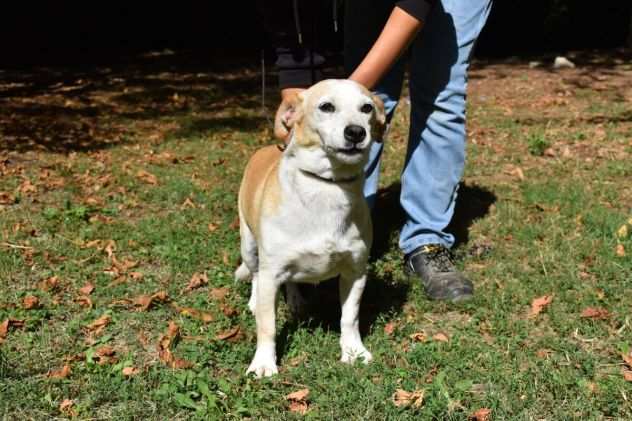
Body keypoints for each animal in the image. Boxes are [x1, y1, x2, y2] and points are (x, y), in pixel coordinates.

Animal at [235, 79, 386, 378]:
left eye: (366, 108)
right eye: (326, 107)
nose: (356, 132)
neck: (328, 185)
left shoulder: (355, 272)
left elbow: (349, 317)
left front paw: (353, 351)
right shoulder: (271, 273)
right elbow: (267, 326)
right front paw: (263, 362)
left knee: (292, 280)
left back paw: (296, 301)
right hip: (249, 246)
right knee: (255, 274)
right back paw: (255, 302)